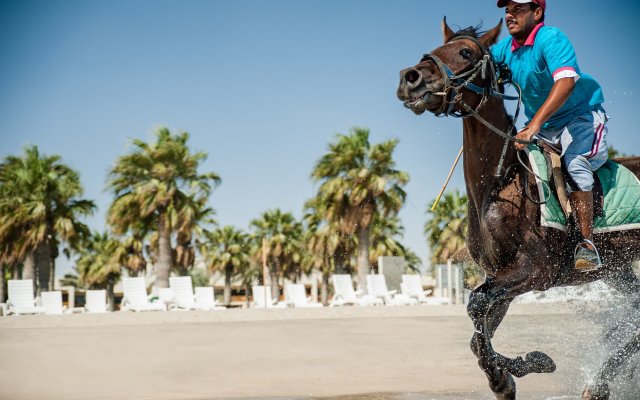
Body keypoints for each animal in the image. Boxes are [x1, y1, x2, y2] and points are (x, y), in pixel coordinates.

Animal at [396, 17, 640, 398]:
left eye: (465, 52)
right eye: (437, 48)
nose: (410, 78)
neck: (498, 183)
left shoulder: (534, 270)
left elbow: (476, 305)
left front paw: (520, 369)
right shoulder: (501, 276)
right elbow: (477, 331)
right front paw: (512, 375)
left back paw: (600, 382)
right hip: (618, 270)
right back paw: (601, 381)